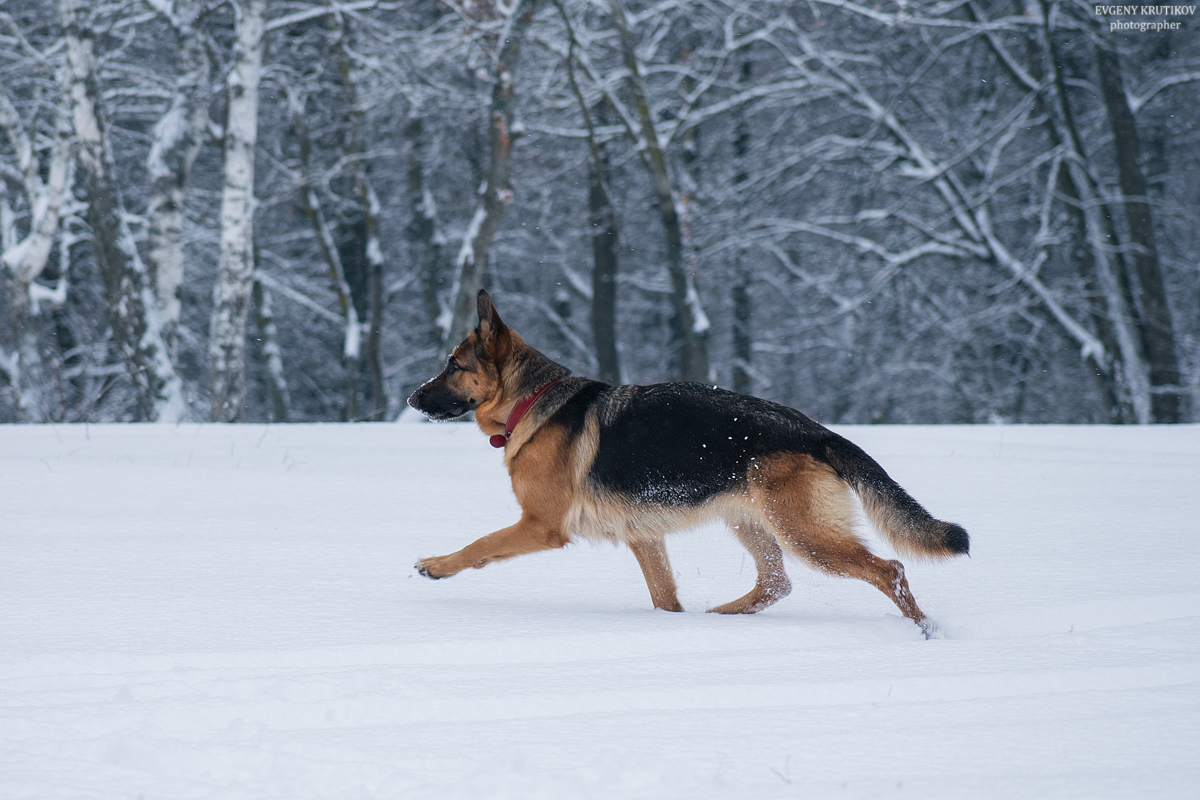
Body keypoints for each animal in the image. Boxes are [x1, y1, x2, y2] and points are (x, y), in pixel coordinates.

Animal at [410, 291, 964, 633]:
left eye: (453, 366)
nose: (413, 398)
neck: (531, 400)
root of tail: (817, 431)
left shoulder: (540, 526)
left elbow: (481, 545)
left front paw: (436, 566)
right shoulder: (644, 537)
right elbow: (665, 598)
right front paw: (673, 626)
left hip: (806, 534)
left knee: (890, 569)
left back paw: (924, 630)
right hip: (751, 522)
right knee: (775, 583)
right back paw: (718, 617)